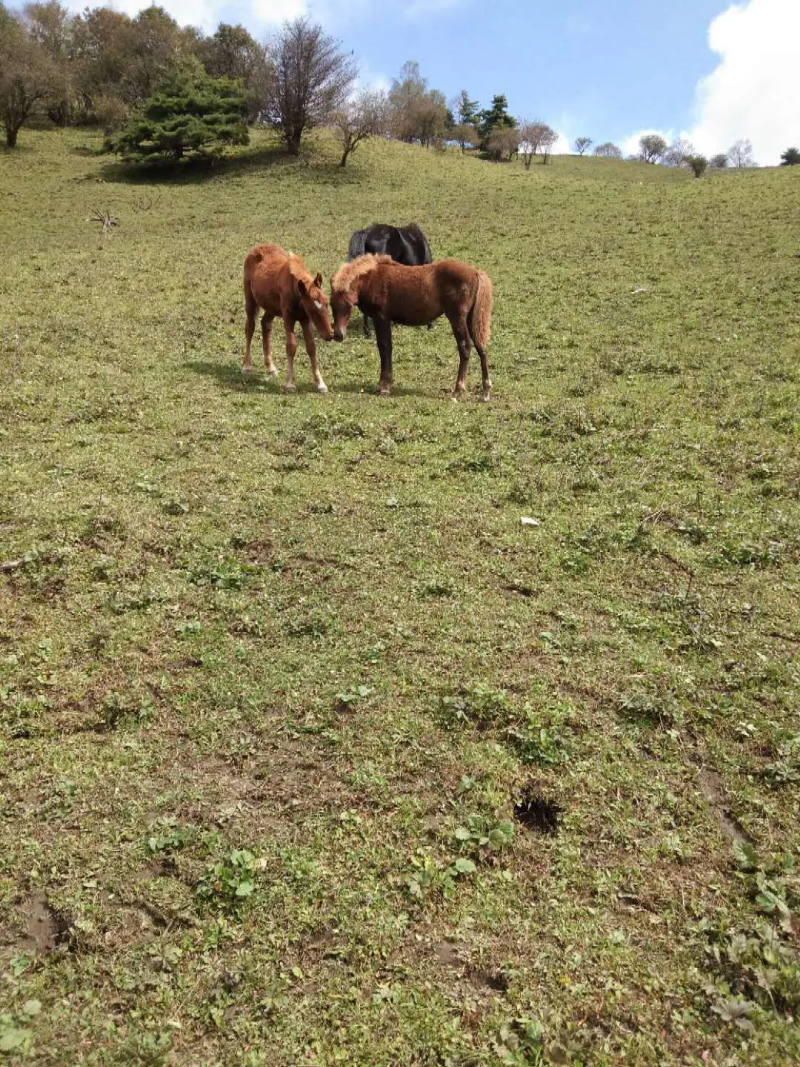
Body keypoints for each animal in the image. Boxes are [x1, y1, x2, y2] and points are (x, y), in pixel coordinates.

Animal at [243, 243, 334, 393]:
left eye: (327, 303)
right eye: (312, 309)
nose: (330, 335)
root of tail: (256, 248)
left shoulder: (305, 320)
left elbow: (311, 347)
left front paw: (320, 383)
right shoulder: (288, 318)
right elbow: (291, 346)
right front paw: (290, 383)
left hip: (271, 308)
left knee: (265, 324)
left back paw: (270, 367)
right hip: (250, 300)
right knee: (250, 328)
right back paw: (246, 366)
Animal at [330, 255, 493, 401]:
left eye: (348, 305)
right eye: (331, 304)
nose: (338, 334)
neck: (372, 278)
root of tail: (476, 272)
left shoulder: (381, 318)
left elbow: (384, 347)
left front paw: (383, 386)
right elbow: (387, 348)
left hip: (457, 317)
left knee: (465, 347)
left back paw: (458, 391)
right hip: (471, 317)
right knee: (481, 345)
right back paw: (485, 392)